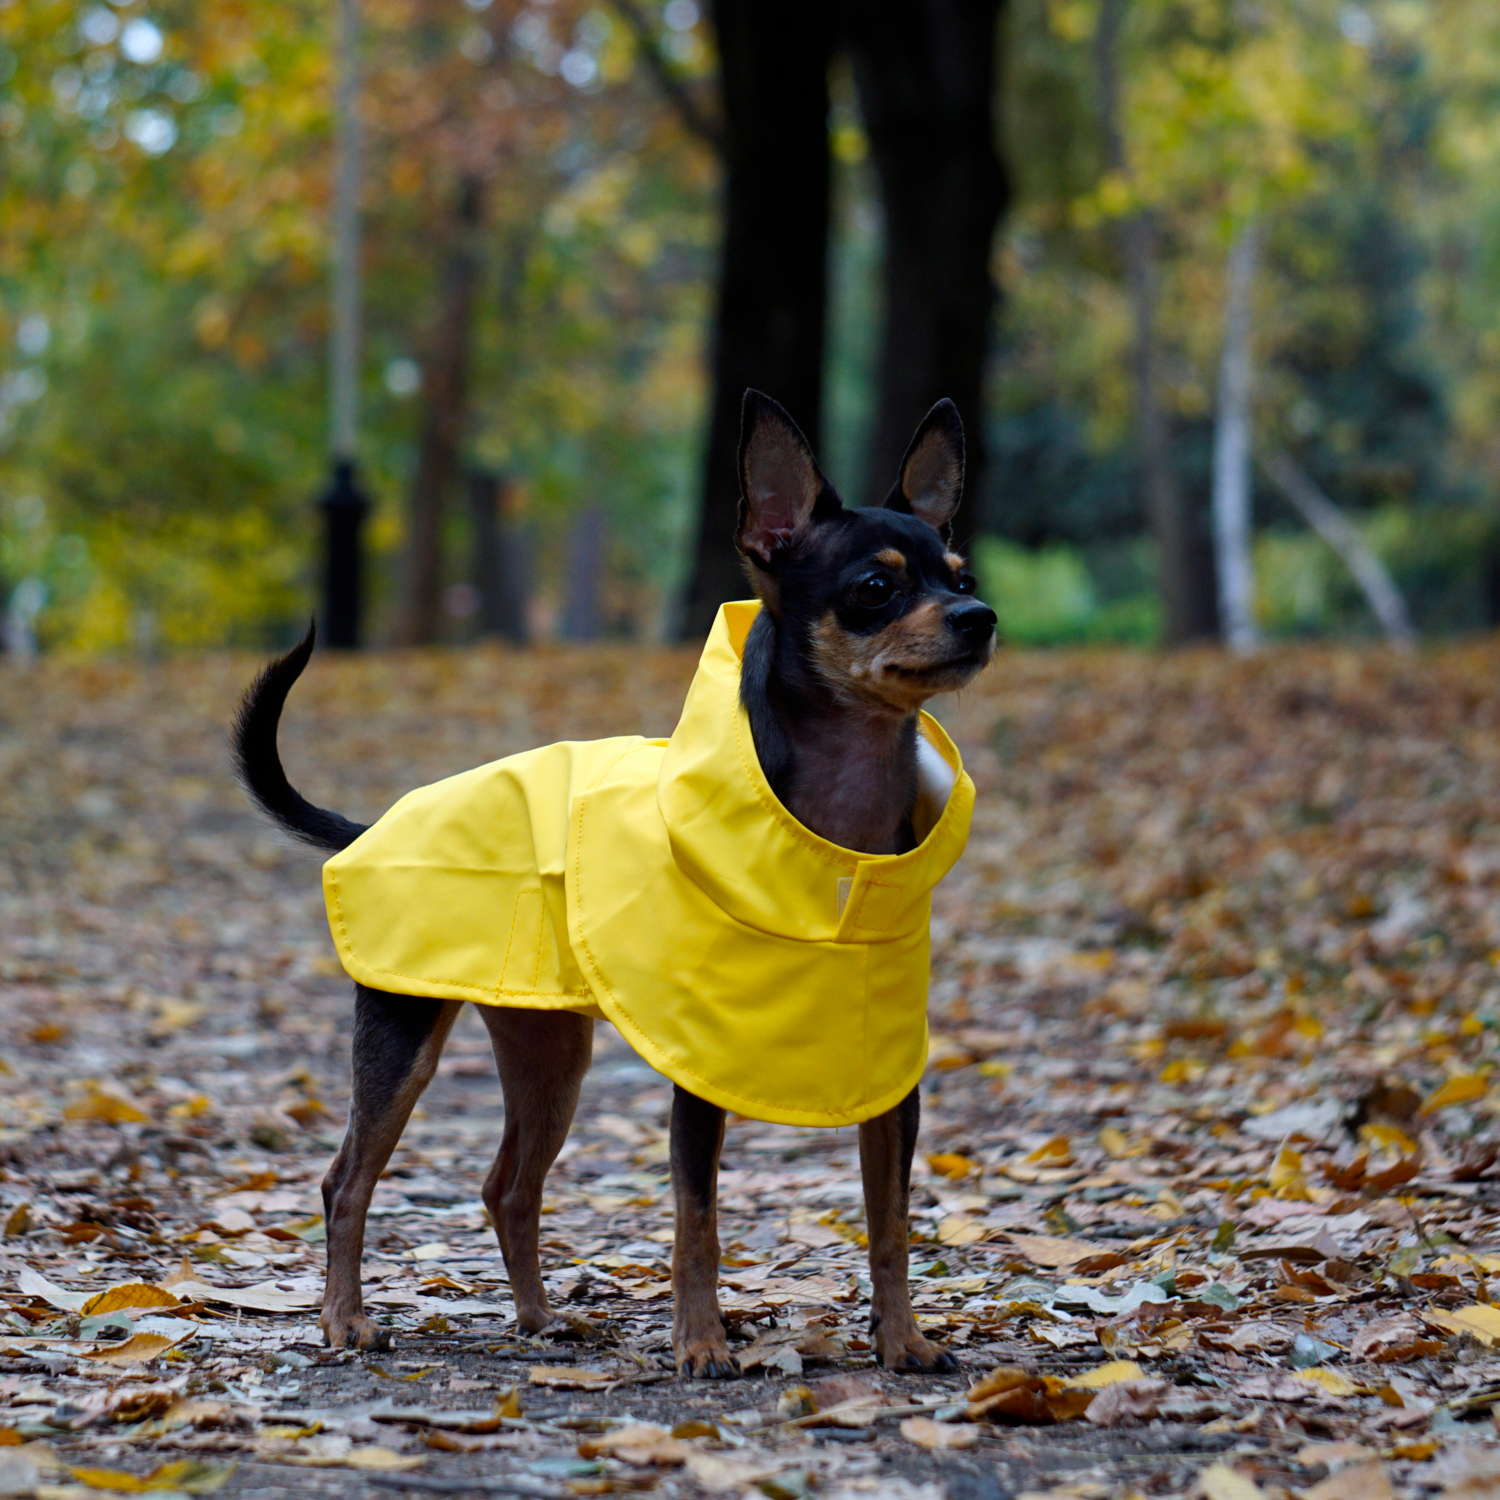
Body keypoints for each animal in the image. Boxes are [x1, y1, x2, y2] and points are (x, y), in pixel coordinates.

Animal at [234, 393, 996, 1374]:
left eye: (960, 573)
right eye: (876, 588)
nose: (979, 616)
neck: (837, 836)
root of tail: (374, 827)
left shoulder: (892, 1080)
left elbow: (891, 1222)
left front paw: (903, 1339)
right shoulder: (699, 1077)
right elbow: (697, 1224)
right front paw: (702, 1344)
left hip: (552, 1054)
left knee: (507, 1186)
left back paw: (541, 1319)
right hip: (405, 1042)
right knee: (346, 1182)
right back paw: (344, 1321)